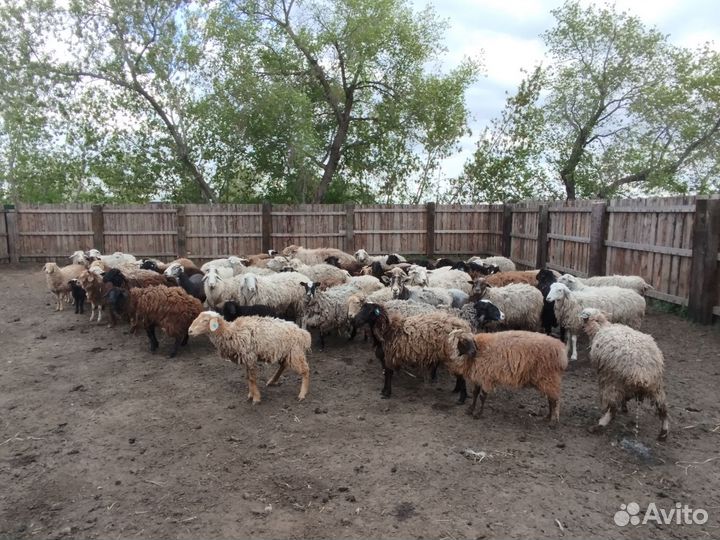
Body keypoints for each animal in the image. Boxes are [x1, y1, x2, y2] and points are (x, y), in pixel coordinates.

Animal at [580, 308, 669, 440]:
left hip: (613, 381)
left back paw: (599, 425)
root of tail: (642, 371)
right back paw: (663, 432)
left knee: (612, 408)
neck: (600, 327)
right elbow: (626, 397)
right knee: (663, 408)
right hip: (656, 386)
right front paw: (625, 405)